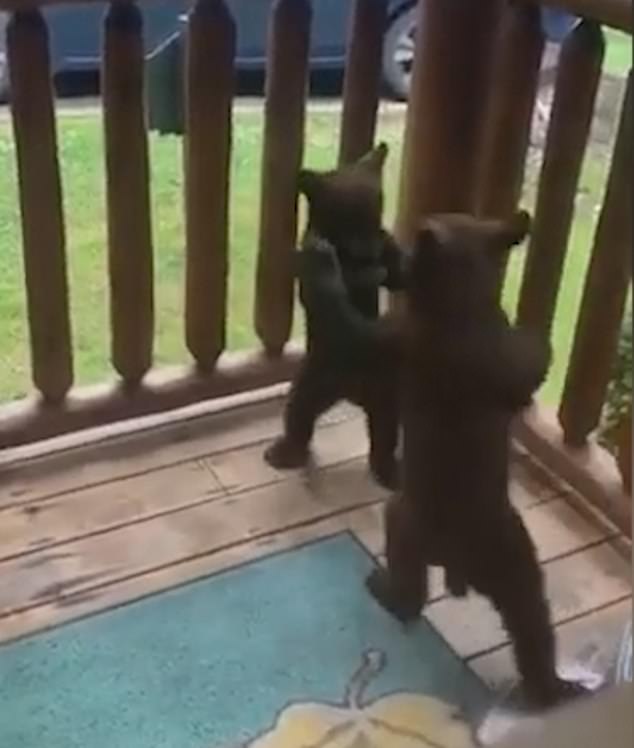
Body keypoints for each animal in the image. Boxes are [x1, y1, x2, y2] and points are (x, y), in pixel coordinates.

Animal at [264, 142, 405, 489]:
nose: (367, 249)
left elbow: (394, 268)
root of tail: (351, 393)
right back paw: (285, 453)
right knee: (298, 416)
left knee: (384, 434)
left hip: (383, 395)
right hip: (313, 383)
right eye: (347, 215)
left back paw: (389, 471)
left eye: (376, 206)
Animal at [297, 211, 587, 710]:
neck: (464, 307)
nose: (392, 253)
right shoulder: (511, 361)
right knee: (533, 629)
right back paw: (553, 688)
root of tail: (462, 561)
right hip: (517, 565)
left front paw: (321, 260)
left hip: (403, 521)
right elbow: (531, 360)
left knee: (411, 597)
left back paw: (382, 588)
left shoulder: (387, 339)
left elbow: (348, 324)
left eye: (411, 253)